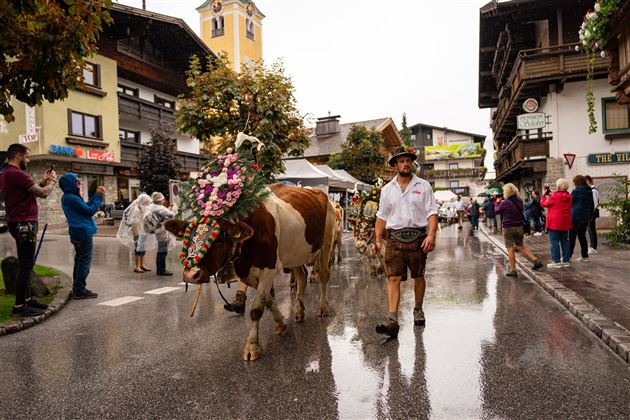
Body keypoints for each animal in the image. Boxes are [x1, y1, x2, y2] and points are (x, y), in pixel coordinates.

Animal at [165, 135, 338, 360]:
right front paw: (281, 323)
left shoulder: (269, 267)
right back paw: (299, 311)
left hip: (326, 243)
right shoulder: (248, 271)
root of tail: (318, 191)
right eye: (189, 236)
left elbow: (256, 307)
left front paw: (252, 346)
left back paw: (323, 308)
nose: (190, 274)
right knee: (301, 277)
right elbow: (267, 300)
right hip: (296, 252)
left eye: (219, 239)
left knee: (324, 275)